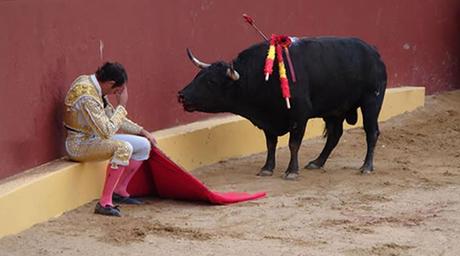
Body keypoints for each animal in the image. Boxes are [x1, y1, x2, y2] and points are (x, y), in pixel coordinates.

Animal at [178, 37, 386, 179]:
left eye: (211, 81)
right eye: (198, 76)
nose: (181, 95)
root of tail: (374, 52)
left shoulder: (300, 116)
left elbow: (293, 144)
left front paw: (291, 171)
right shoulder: (267, 119)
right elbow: (271, 144)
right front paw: (267, 168)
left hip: (371, 102)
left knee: (371, 132)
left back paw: (366, 166)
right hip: (335, 111)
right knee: (334, 135)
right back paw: (317, 162)